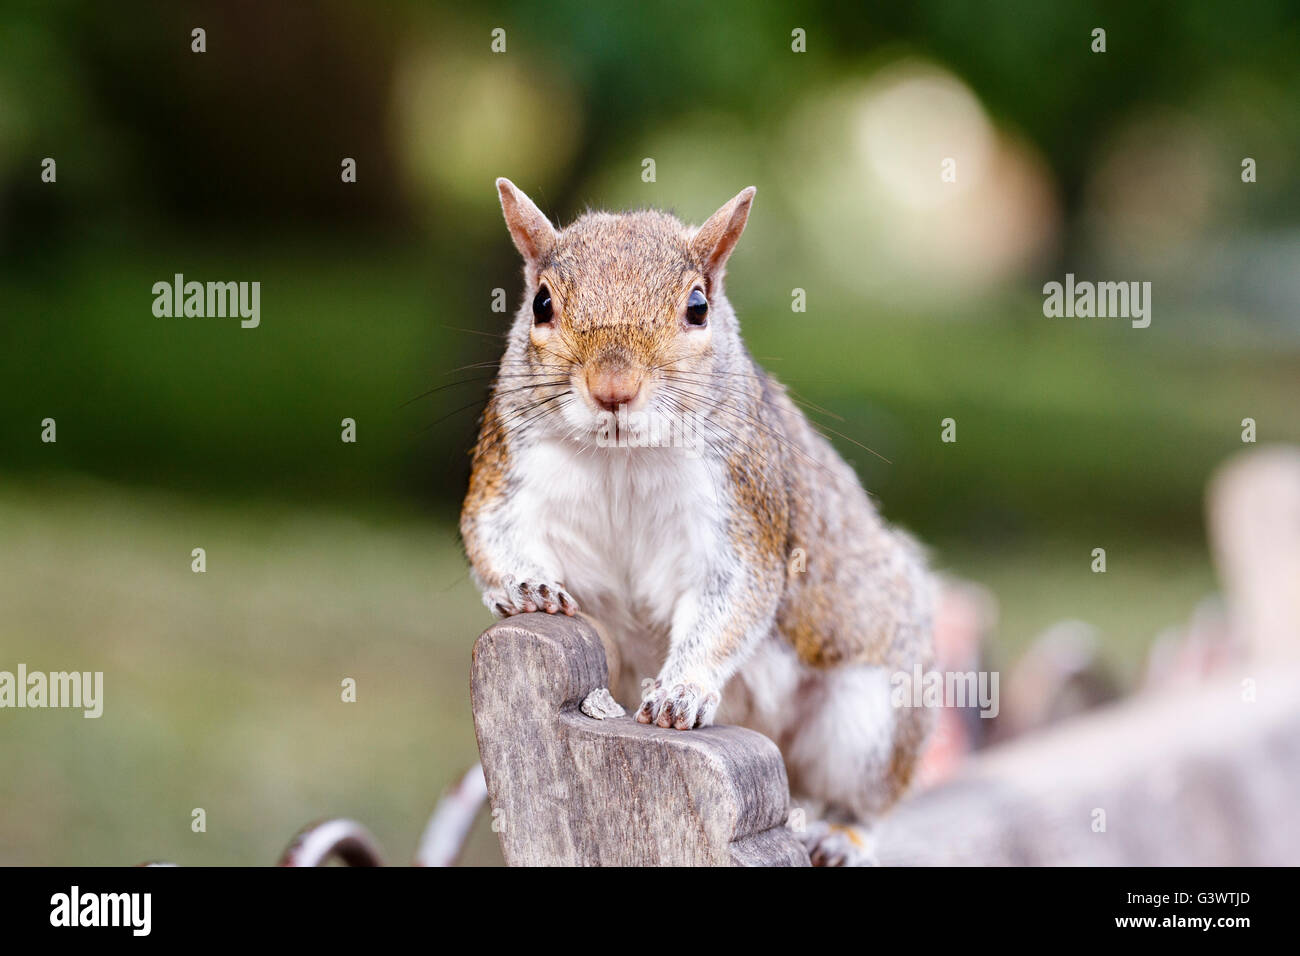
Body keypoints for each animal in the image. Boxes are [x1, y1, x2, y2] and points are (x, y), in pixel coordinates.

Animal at [465, 179, 935, 868]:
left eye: (697, 307)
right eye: (541, 303)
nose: (613, 387)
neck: (621, 459)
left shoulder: (744, 507)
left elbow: (733, 600)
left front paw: (680, 691)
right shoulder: (506, 470)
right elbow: (489, 535)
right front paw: (527, 587)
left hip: (872, 716)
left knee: (863, 797)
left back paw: (837, 834)